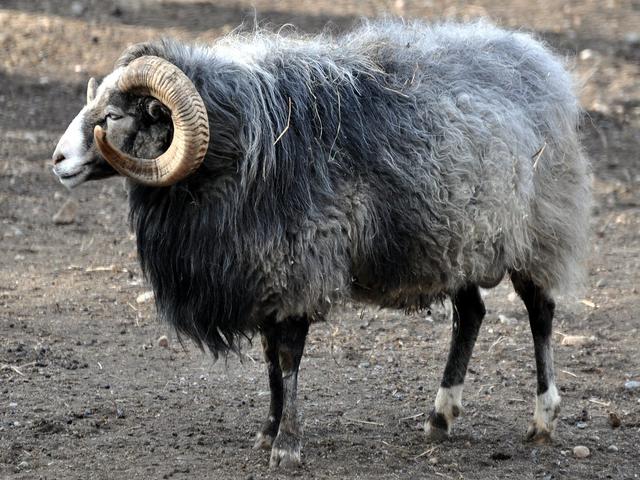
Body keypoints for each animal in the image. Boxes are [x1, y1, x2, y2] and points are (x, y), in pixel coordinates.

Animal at [52, 20, 591, 467]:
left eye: (115, 114)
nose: (57, 159)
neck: (235, 148)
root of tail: (535, 57)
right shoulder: (265, 277)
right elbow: (271, 362)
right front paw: (268, 432)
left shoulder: (297, 272)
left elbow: (288, 360)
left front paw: (287, 448)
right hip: (456, 240)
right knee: (471, 314)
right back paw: (439, 418)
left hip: (535, 232)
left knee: (539, 311)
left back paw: (543, 419)